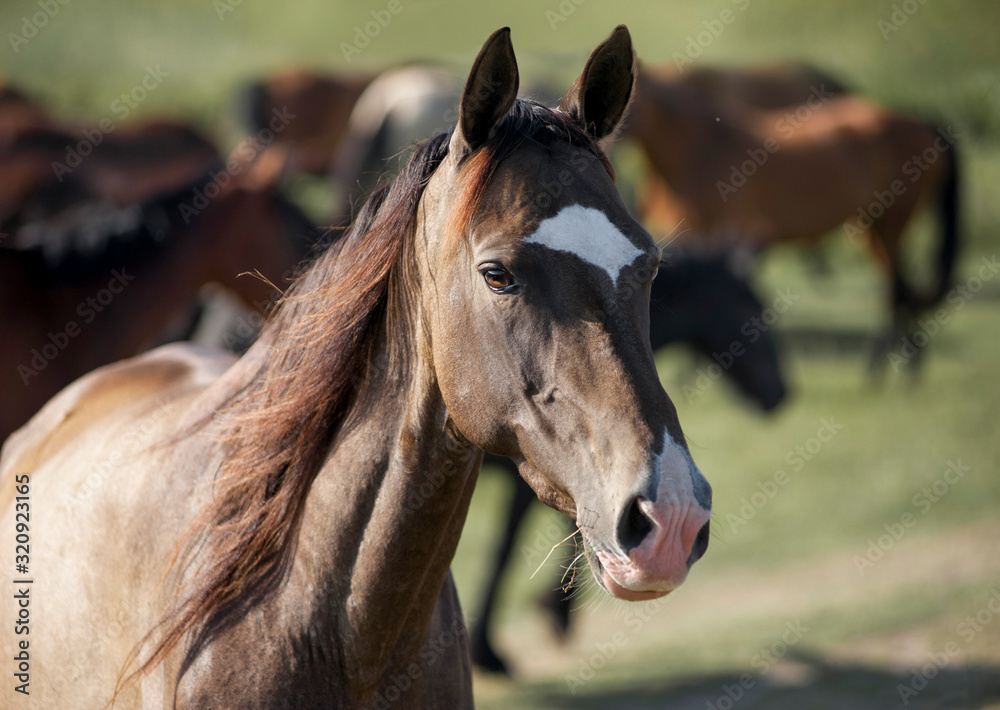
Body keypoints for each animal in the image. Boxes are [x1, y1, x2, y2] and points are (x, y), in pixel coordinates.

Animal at [470, 252, 788, 680]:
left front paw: (555, 611)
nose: (782, 392)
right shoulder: (529, 480)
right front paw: (490, 650)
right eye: (754, 308)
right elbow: (506, 552)